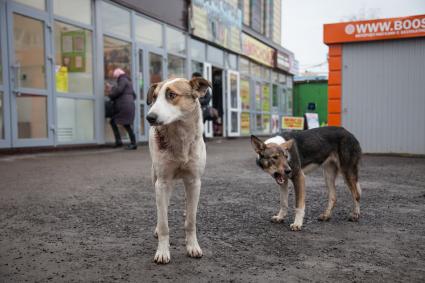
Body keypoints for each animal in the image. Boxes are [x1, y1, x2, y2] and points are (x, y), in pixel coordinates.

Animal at [147, 77, 211, 264]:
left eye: (171, 95)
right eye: (154, 97)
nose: (149, 117)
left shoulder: (194, 181)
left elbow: (191, 221)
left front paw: (192, 247)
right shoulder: (162, 182)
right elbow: (163, 224)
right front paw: (162, 251)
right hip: (156, 177)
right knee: (162, 205)